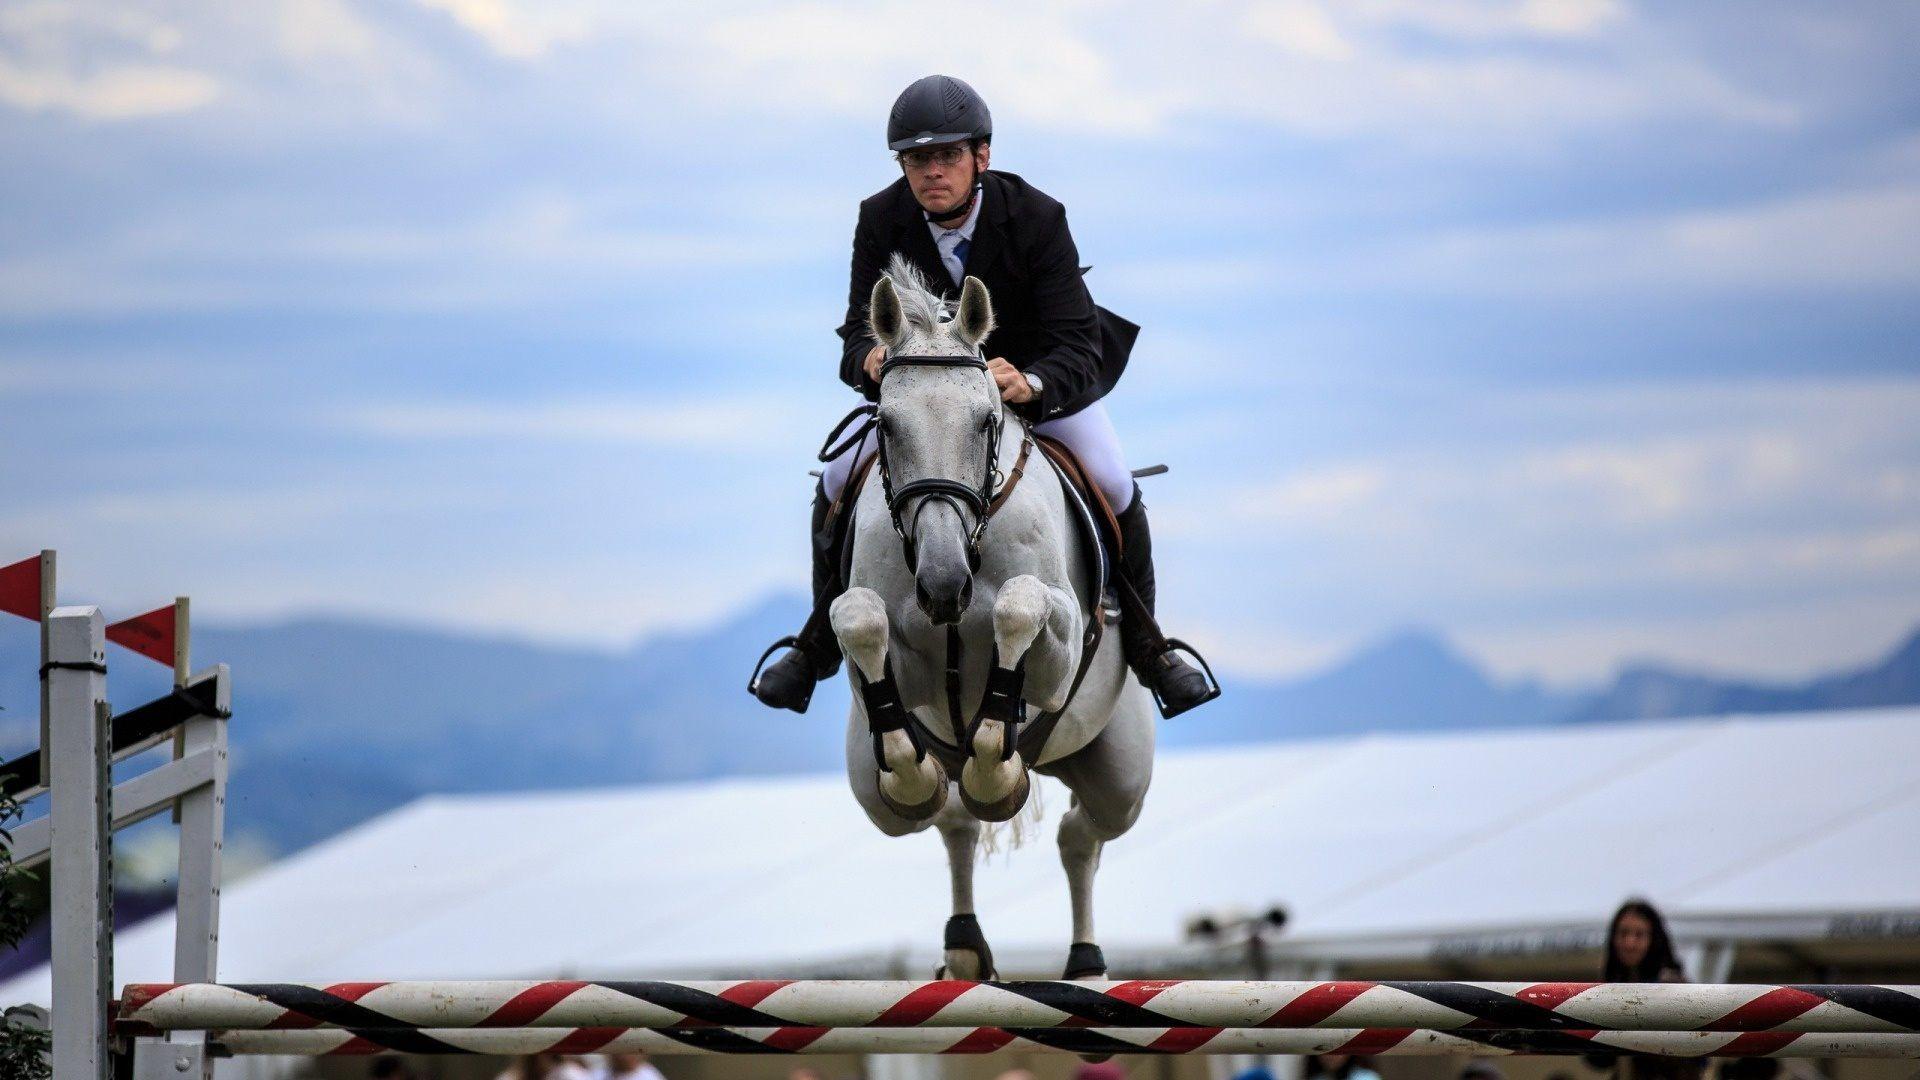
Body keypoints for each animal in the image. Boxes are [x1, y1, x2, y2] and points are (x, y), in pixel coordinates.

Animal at [829, 255, 1154, 981]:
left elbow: (1019, 604)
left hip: (1120, 770)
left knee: (1082, 833)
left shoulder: (1061, 649)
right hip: (868, 785)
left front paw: (997, 766)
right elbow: (858, 619)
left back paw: (1087, 963)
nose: (944, 585)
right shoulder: (894, 655)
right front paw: (950, 772)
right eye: (886, 426)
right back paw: (964, 940)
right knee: (950, 817)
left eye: (985, 421)